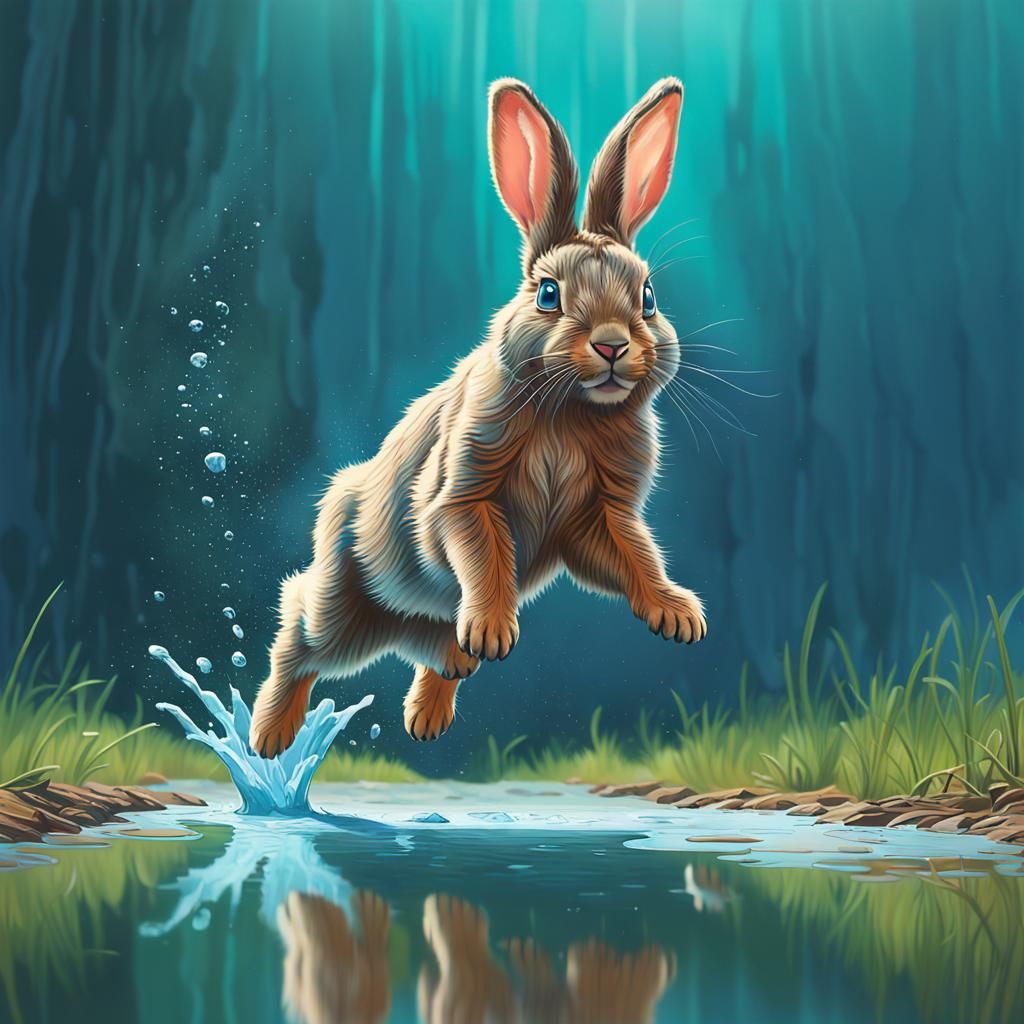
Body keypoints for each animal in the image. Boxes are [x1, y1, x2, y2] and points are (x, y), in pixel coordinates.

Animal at [249, 75, 706, 758]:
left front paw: (679, 616)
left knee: (435, 658)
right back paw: (269, 736)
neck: (570, 413)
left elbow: (636, 556)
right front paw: (493, 630)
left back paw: (430, 713)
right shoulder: (461, 490)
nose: (612, 345)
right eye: (548, 294)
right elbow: (481, 549)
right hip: (342, 605)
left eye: (648, 298)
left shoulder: (603, 514)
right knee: (297, 632)